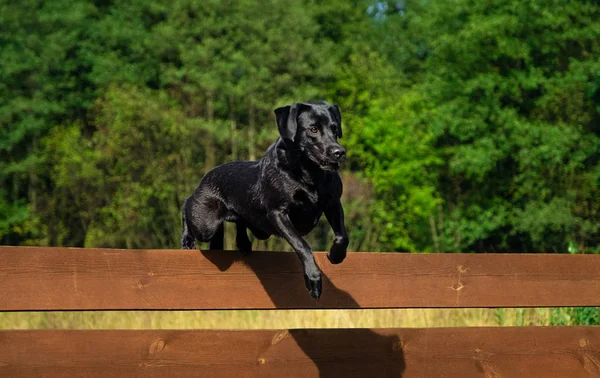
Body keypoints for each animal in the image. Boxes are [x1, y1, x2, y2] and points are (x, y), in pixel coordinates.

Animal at [180, 100, 350, 298]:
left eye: (335, 129)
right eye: (313, 129)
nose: (340, 152)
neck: (310, 174)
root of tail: (206, 176)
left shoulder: (333, 203)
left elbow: (342, 236)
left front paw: (336, 256)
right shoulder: (278, 213)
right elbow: (302, 244)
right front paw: (313, 279)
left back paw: (244, 243)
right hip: (205, 223)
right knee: (187, 204)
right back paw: (186, 241)